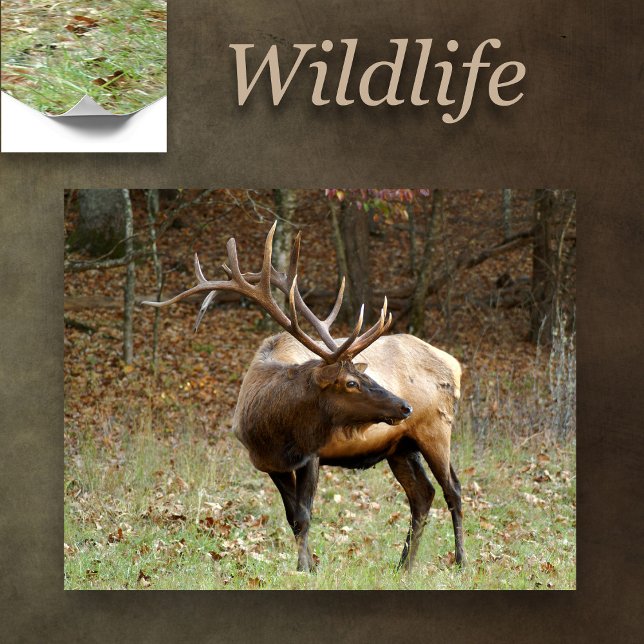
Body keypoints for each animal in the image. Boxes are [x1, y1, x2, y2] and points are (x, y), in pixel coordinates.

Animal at [143, 223, 464, 573]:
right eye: (352, 382)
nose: (405, 406)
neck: (273, 428)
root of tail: (454, 364)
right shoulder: (270, 464)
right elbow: (292, 517)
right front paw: (308, 565)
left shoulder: (312, 454)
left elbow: (305, 515)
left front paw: (304, 569)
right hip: (400, 445)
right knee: (423, 495)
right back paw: (403, 565)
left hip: (435, 429)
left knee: (453, 490)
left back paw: (460, 562)